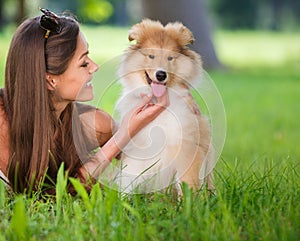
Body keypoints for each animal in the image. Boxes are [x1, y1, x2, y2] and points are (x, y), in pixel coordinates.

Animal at [113, 18, 214, 194]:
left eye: (170, 58)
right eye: (151, 56)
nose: (161, 75)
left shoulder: (187, 147)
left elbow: (188, 182)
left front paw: (189, 201)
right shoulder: (136, 152)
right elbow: (129, 180)